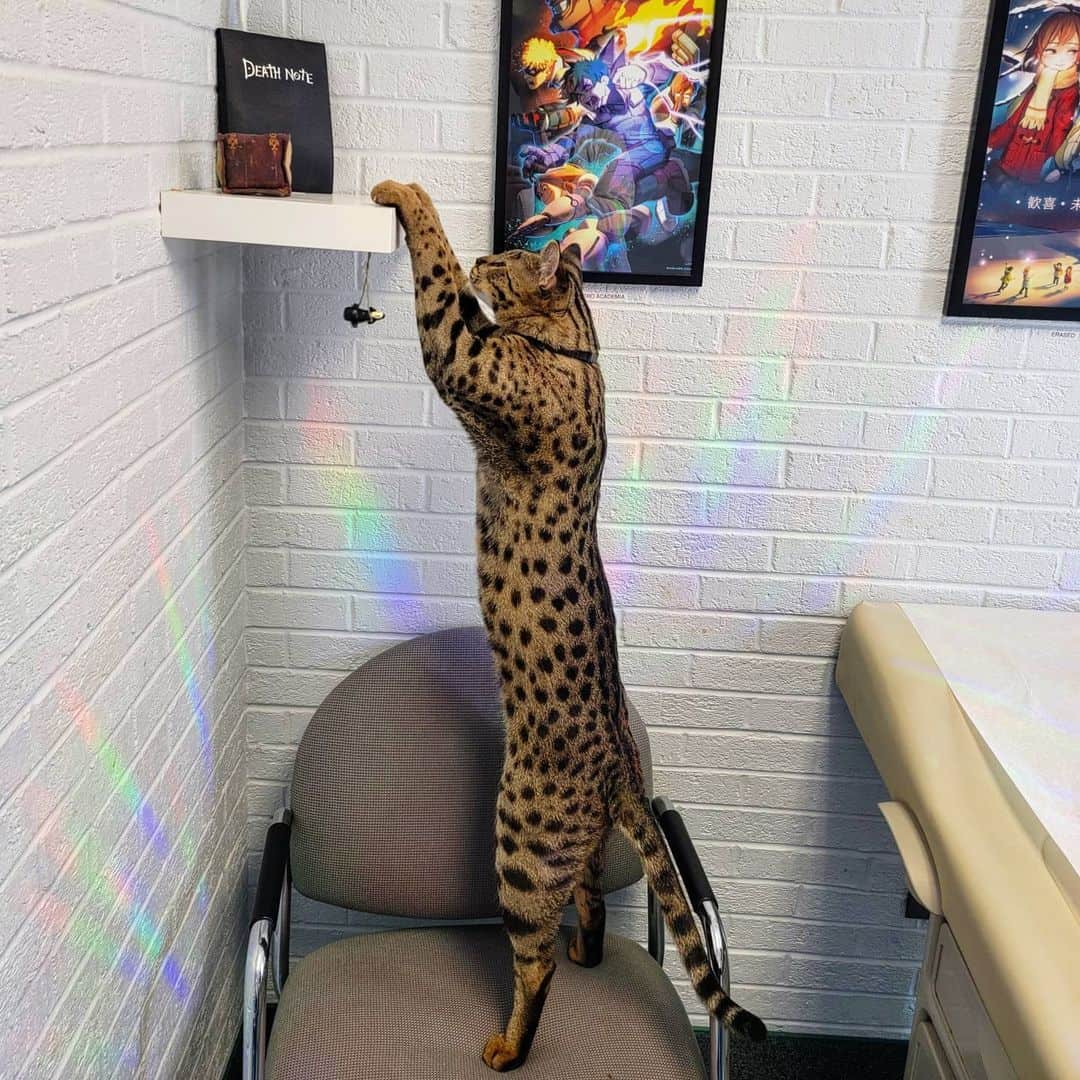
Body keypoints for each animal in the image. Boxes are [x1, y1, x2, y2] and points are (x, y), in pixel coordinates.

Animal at [373, 181, 768, 1067]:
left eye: (500, 260)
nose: (485, 254)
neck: (581, 351)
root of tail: (625, 769)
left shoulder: (462, 351)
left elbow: (436, 274)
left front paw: (403, 193)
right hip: (572, 847)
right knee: (585, 905)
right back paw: (590, 952)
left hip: (521, 841)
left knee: (537, 958)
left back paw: (509, 1047)